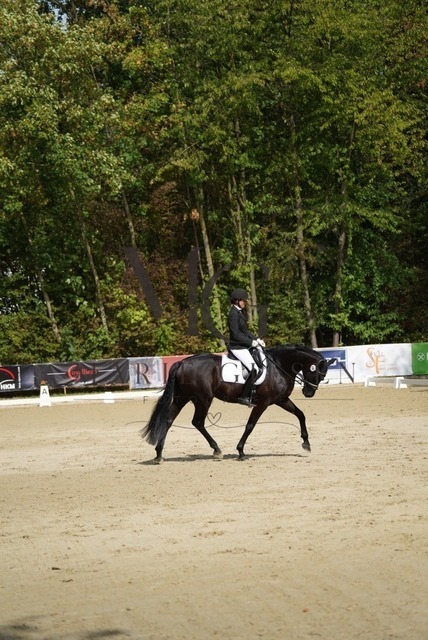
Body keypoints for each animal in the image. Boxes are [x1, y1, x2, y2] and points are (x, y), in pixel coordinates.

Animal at [141, 344, 336, 463]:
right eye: (319, 374)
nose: (309, 393)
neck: (279, 366)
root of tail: (181, 362)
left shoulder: (281, 400)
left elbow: (300, 414)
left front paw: (306, 444)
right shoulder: (263, 403)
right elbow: (250, 425)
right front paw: (241, 451)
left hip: (183, 397)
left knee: (168, 420)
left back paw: (159, 454)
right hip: (202, 399)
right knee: (197, 422)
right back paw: (217, 450)